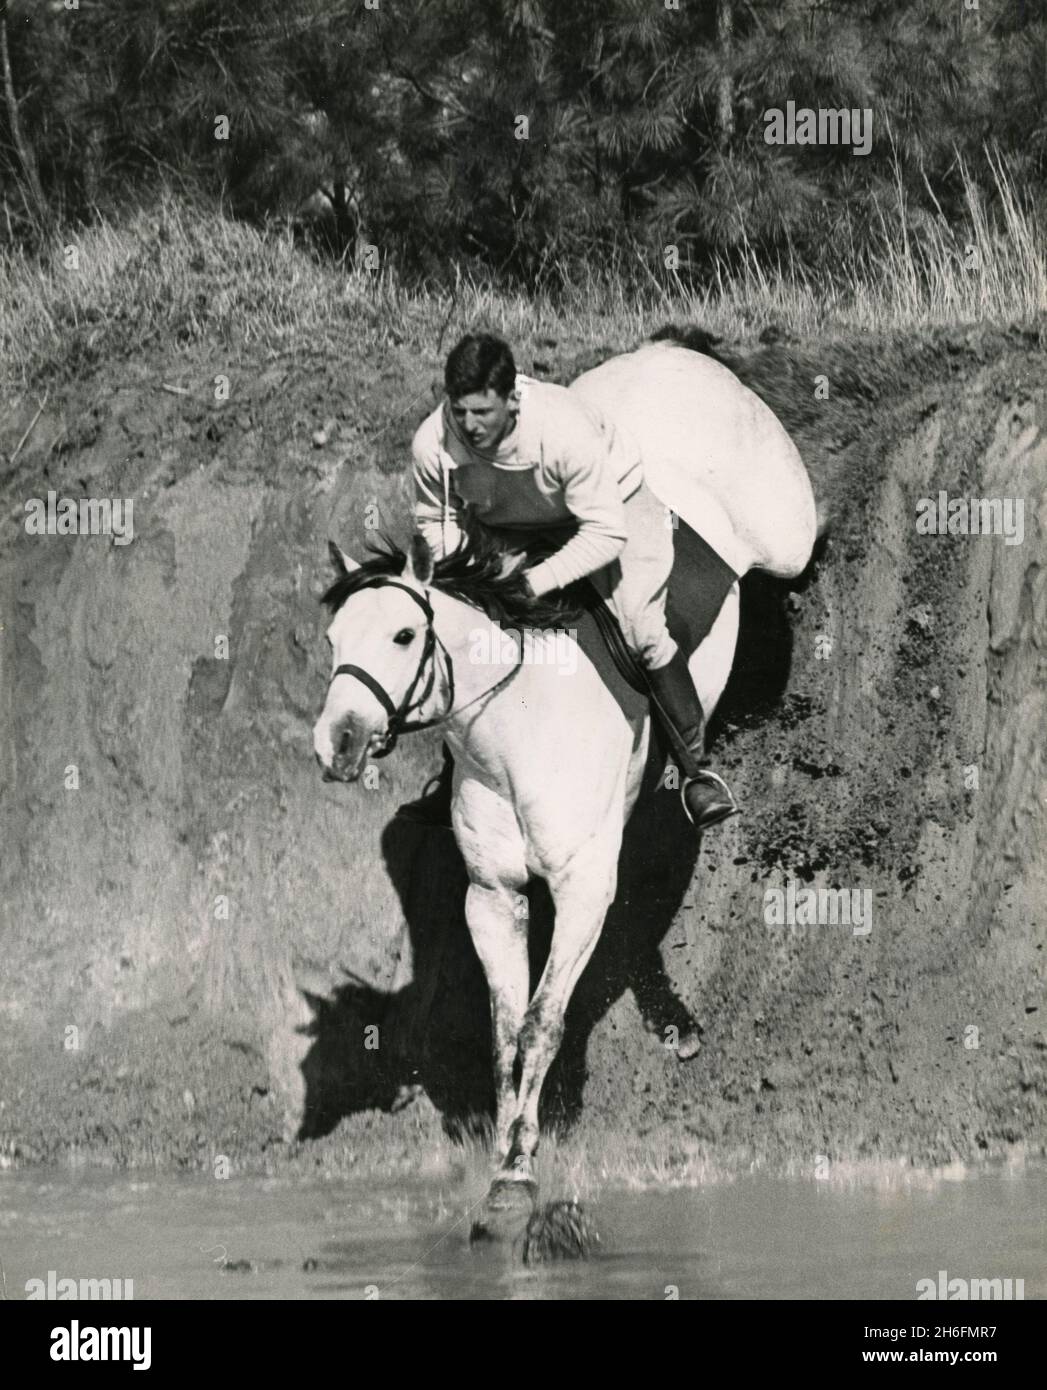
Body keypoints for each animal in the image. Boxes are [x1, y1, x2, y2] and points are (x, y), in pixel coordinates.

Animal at [310, 339, 817, 1206]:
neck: (512, 736)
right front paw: (506, 1152)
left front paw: (518, 1165)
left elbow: (544, 1018)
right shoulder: (493, 895)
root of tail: (672, 349)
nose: (336, 741)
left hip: (766, 526)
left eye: (405, 635)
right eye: (334, 637)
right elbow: (506, 1027)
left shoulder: (582, 887)